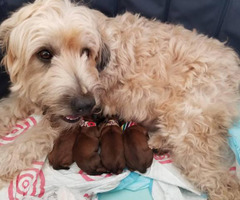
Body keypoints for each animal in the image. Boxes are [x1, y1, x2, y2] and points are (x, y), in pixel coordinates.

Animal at [0, 0, 239, 198]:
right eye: (44, 54)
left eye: (86, 51)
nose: (85, 104)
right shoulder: (31, 97)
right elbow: (7, 109)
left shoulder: (63, 123)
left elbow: (27, 140)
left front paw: (5, 159)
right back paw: (158, 142)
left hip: (189, 126)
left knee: (222, 181)